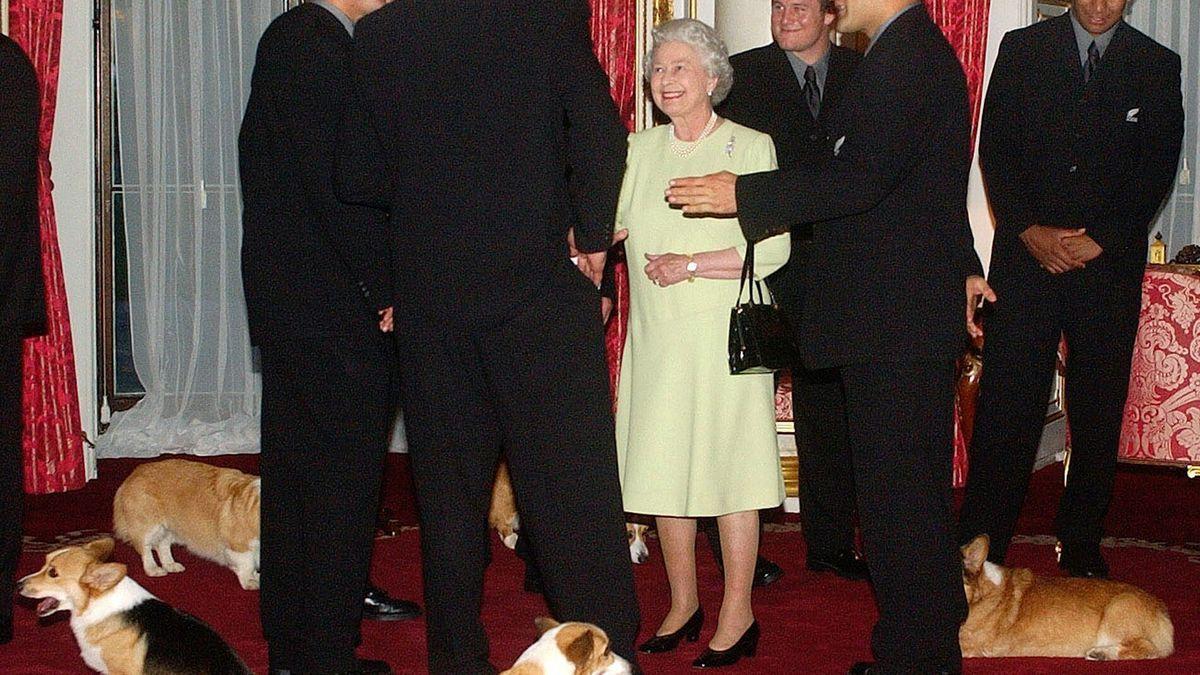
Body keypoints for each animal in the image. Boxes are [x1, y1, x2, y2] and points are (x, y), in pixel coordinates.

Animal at [112, 456, 260, 588]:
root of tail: (133, 474)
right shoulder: (239, 545)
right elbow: (248, 564)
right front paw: (250, 582)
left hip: (168, 528)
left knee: (162, 546)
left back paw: (171, 565)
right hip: (149, 527)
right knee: (145, 549)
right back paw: (153, 569)